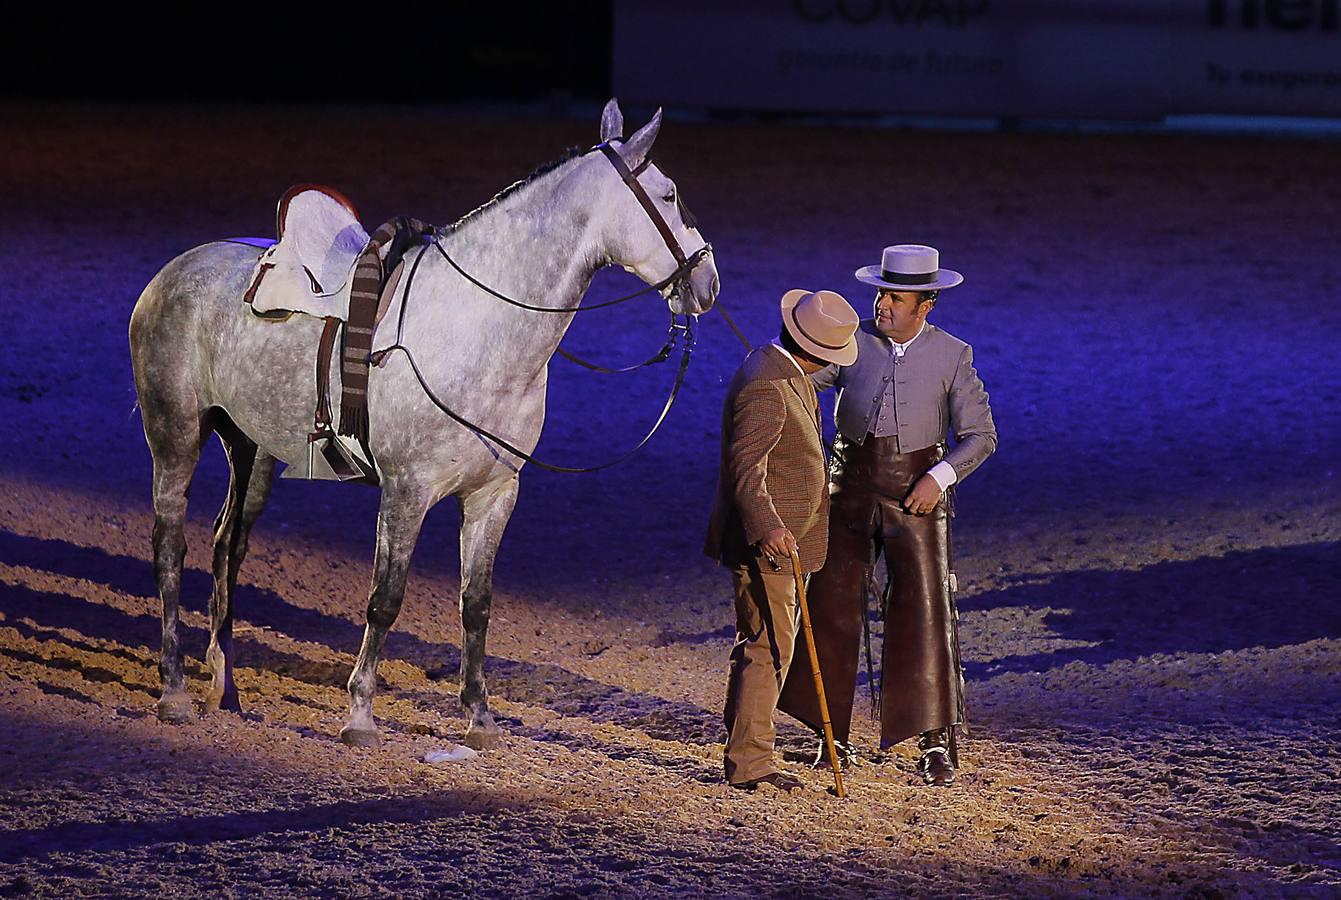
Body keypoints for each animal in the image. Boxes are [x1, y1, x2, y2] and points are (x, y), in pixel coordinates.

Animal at [133, 98, 724, 751]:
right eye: (669, 194)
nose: (708, 282)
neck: (476, 324)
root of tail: (173, 271)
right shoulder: (406, 491)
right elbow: (385, 598)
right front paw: (360, 716)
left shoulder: (495, 493)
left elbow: (476, 604)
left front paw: (480, 719)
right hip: (175, 436)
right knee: (170, 547)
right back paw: (174, 692)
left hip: (252, 448)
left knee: (227, 545)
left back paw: (225, 686)